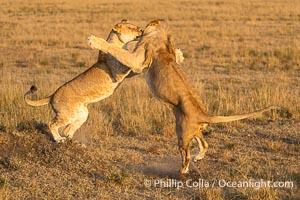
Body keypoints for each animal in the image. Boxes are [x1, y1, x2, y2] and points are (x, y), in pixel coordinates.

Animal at [24, 19, 183, 143]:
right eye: (131, 28)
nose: (142, 30)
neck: (121, 43)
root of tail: (52, 95)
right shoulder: (119, 71)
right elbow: (126, 57)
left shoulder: (125, 74)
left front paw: (179, 54)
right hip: (67, 114)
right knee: (52, 124)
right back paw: (59, 139)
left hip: (81, 113)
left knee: (68, 129)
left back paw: (72, 141)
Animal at [88, 19, 280, 174]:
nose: (141, 29)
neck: (163, 36)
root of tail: (204, 113)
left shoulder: (137, 60)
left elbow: (116, 50)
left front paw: (94, 40)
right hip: (190, 128)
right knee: (205, 143)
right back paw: (198, 158)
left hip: (182, 131)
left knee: (186, 155)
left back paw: (183, 171)